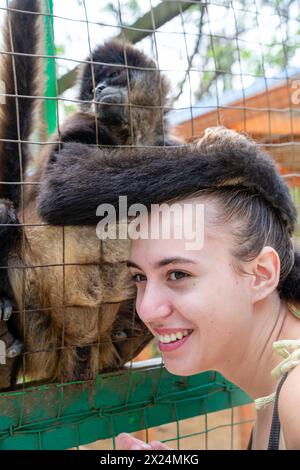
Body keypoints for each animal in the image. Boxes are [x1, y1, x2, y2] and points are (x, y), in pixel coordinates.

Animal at [0, 0, 180, 390]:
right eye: (91, 87)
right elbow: (58, 191)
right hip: (37, 327)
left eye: (112, 75)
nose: (98, 89)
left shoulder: (167, 143)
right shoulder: (82, 126)